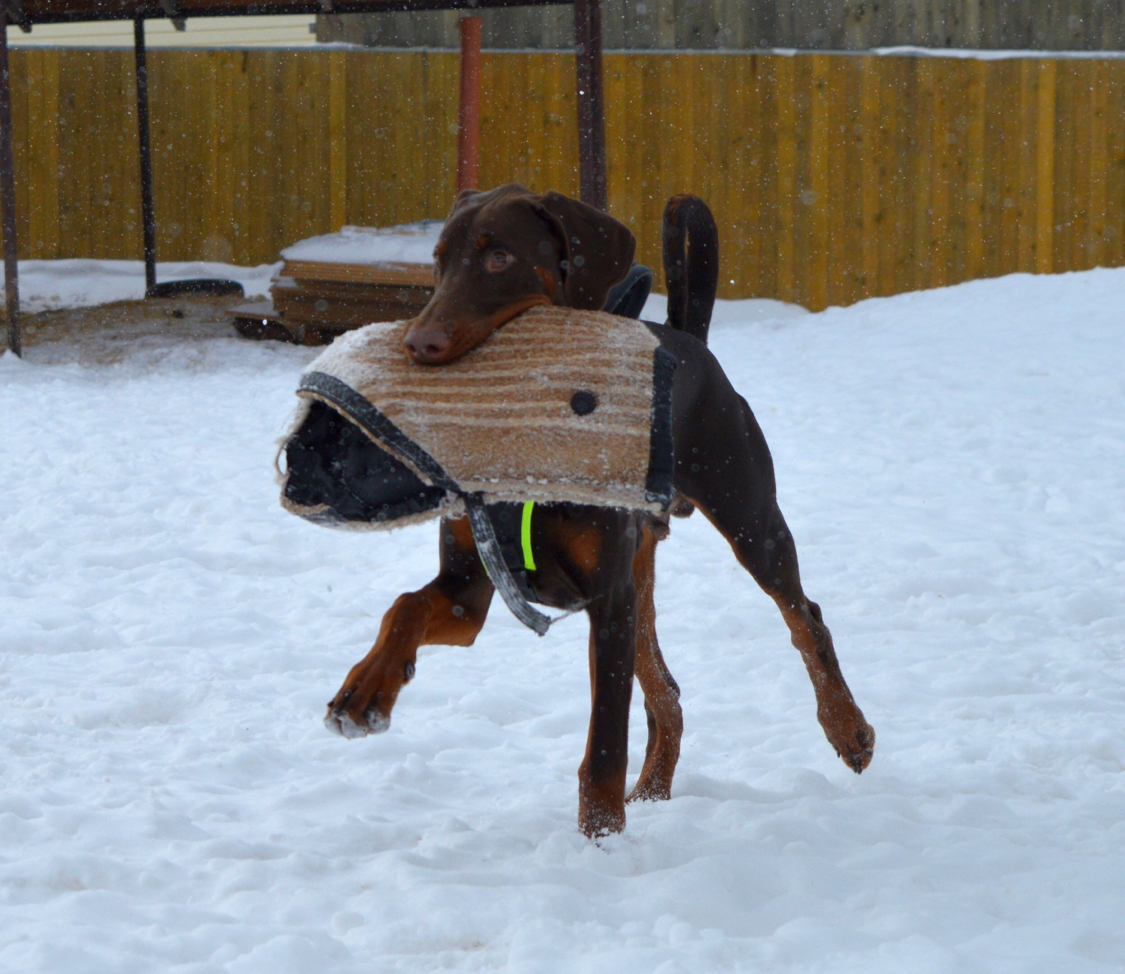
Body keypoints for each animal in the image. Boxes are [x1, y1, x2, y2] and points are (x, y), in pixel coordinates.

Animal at [321, 187, 873, 836]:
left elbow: (606, 743)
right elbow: (405, 607)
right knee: (668, 695)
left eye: (499, 257)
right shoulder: (470, 586)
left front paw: (602, 842)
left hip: (748, 518)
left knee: (803, 617)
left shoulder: (608, 601)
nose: (418, 343)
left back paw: (849, 730)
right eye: (437, 261)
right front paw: (365, 692)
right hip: (641, 575)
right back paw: (654, 792)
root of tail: (691, 341)